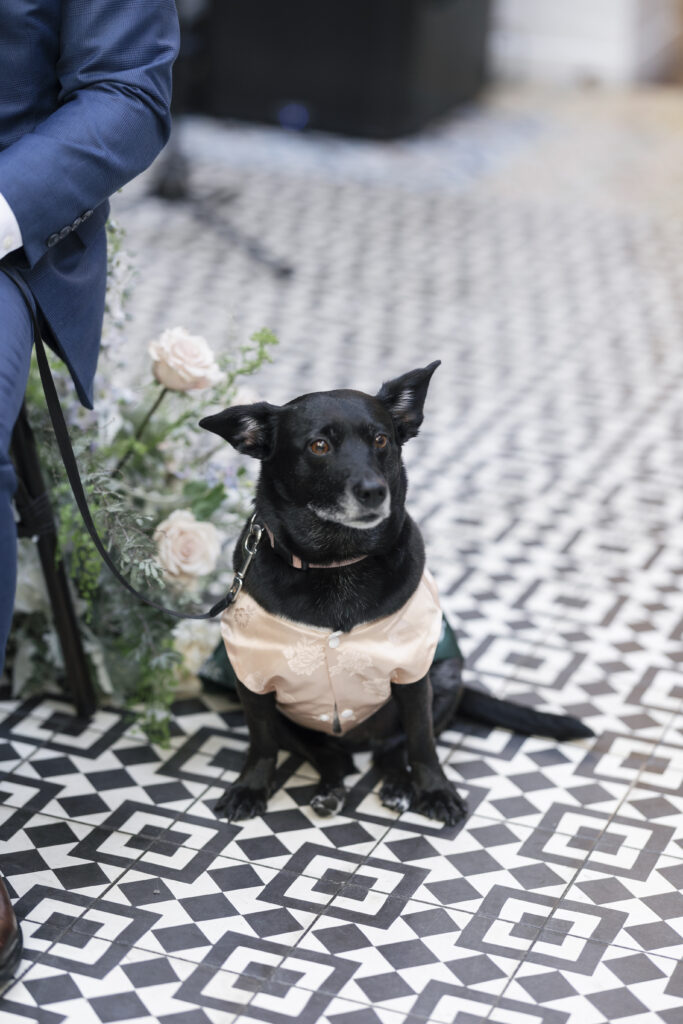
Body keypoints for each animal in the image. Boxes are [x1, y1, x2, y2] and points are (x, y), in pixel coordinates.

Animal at [198, 360, 593, 823]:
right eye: (319, 445)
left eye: (381, 440)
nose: (373, 491)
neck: (338, 563)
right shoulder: (252, 679)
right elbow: (260, 745)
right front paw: (250, 787)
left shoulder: (413, 675)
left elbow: (422, 745)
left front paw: (436, 790)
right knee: (331, 757)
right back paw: (331, 790)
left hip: (445, 675)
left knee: (391, 749)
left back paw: (399, 787)